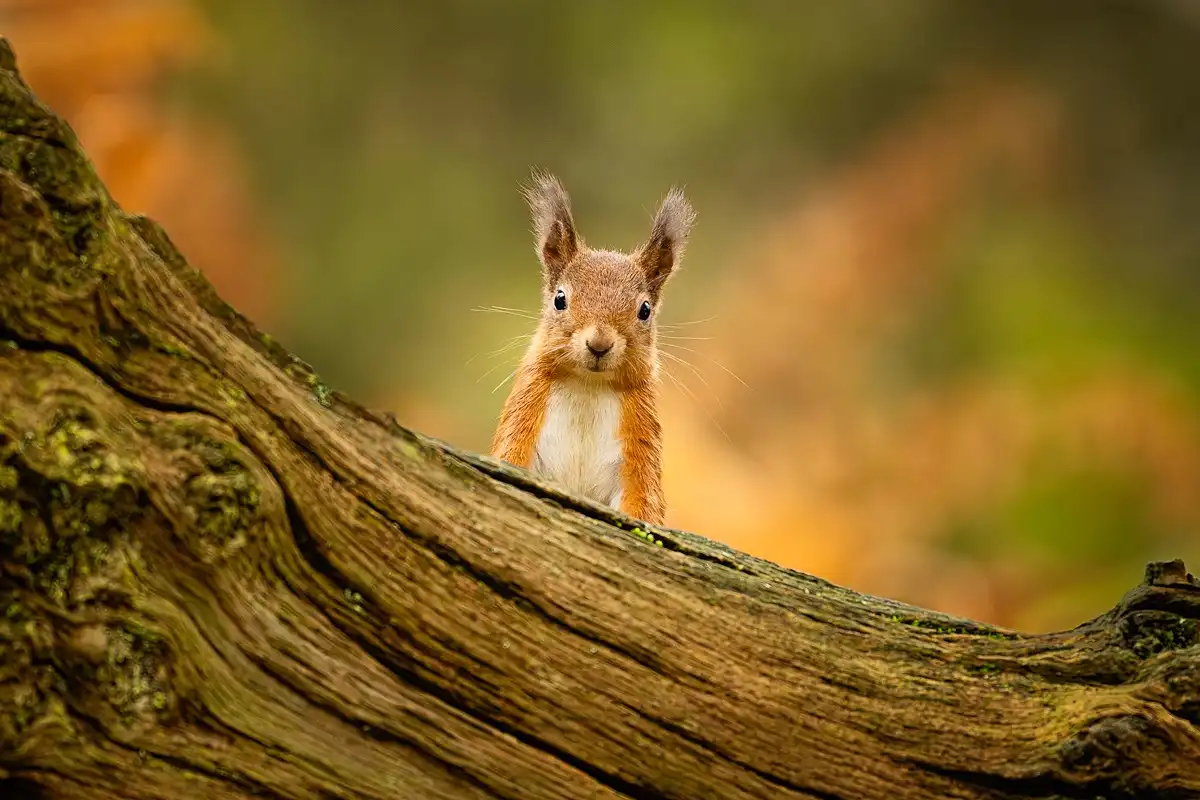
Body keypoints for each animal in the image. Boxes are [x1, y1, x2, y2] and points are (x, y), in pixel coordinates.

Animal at [490, 171, 696, 526]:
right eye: (560, 299)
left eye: (645, 310)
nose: (599, 344)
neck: (588, 386)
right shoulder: (524, 412)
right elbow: (509, 457)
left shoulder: (639, 440)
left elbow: (643, 502)